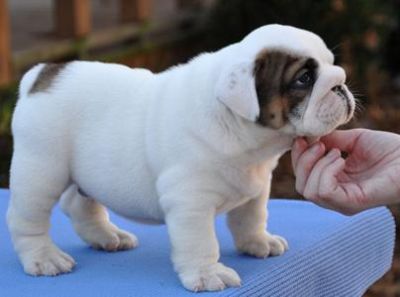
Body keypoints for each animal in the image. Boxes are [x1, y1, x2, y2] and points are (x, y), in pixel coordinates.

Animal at [7, 24, 354, 290]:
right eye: (303, 79)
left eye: (332, 64)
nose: (341, 82)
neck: (247, 136)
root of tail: (42, 74)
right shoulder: (191, 202)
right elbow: (201, 241)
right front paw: (208, 274)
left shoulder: (257, 184)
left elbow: (251, 217)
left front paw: (257, 242)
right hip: (41, 170)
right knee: (26, 219)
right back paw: (44, 257)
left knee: (79, 205)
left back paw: (108, 236)